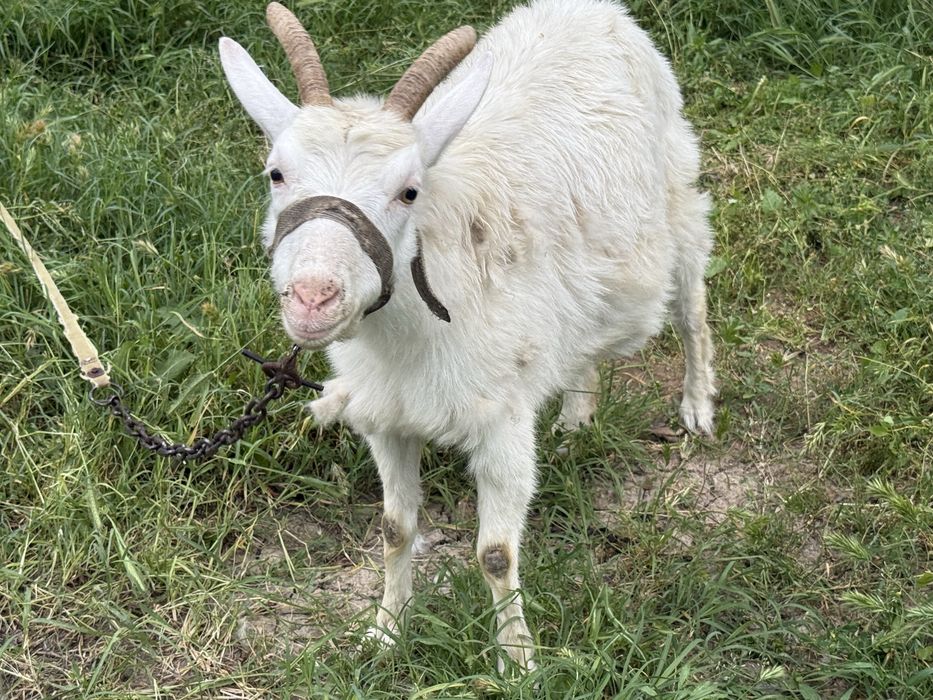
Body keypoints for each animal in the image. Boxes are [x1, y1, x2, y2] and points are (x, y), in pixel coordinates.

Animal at [219, 0, 716, 671]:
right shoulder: (388, 418)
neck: (414, 334)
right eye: (276, 173)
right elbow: (394, 530)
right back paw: (575, 418)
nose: (313, 297)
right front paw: (385, 633)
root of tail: (592, 11)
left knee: (691, 304)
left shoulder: (501, 423)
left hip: (677, 195)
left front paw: (519, 663)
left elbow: (495, 555)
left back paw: (696, 405)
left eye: (409, 190)